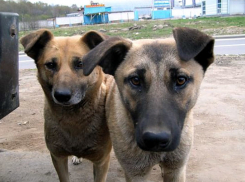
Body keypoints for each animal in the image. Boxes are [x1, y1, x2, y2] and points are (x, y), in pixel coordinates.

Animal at [20, 29, 112, 182]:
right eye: (50, 65)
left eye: (80, 64)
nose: (62, 96)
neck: (73, 118)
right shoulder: (58, 158)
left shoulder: (101, 162)